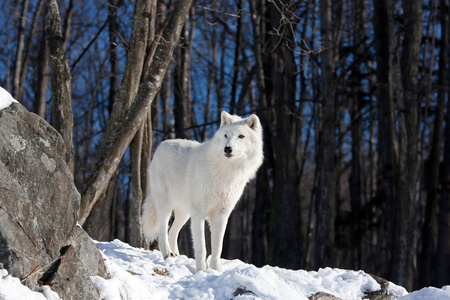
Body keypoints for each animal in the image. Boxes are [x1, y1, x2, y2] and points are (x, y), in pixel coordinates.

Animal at [142, 110, 264, 272]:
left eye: (241, 136)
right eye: (226, 135)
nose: (227, 149)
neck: (226, 173)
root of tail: (161, 144)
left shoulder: (221, 215)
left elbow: (217, 247)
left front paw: (216, 271)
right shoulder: (199, 213)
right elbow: (201, 248)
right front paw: (201, 270)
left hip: (185, 214)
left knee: (172, 232)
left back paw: (176, 256)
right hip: (166, 207)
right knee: (163, 232)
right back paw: (167, 254)